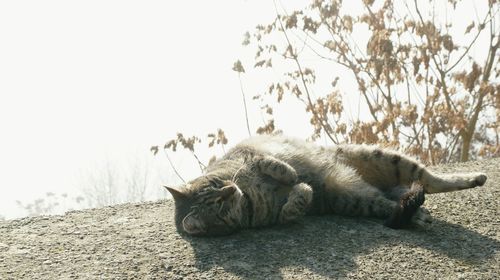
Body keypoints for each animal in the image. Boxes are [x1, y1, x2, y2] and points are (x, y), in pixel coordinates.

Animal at [166, 135, 486, 235]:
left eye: (218, 185)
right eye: (218, 206)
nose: (232, 190)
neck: (249, 198)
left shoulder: (248, 152)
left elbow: (269, 163)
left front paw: (288, 174)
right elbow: (291, 208)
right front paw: (300, 193)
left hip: (384, 158)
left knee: (430, 179)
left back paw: (474, 177)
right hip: (356, 200)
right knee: (397, 202)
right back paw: (418, 215)